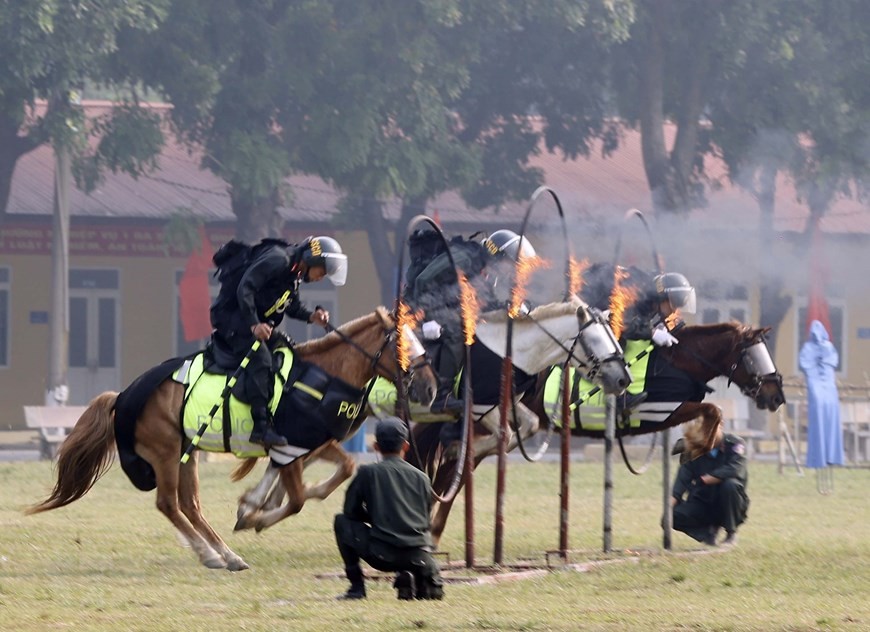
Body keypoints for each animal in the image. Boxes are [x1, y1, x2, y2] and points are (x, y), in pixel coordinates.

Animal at [28, 308, 440, 572]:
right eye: (402, 344)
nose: (430, 388)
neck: (323, 379)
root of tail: (123, 394)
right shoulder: (291, 448)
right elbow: (298, 500)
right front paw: (255, 515)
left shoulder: (309, 445)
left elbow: (343, 470)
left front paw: (253, 506)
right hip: (165, 453)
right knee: (169, 504)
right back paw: (212, 554)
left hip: (187, 453)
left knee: (189, 504)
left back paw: (223, 554)